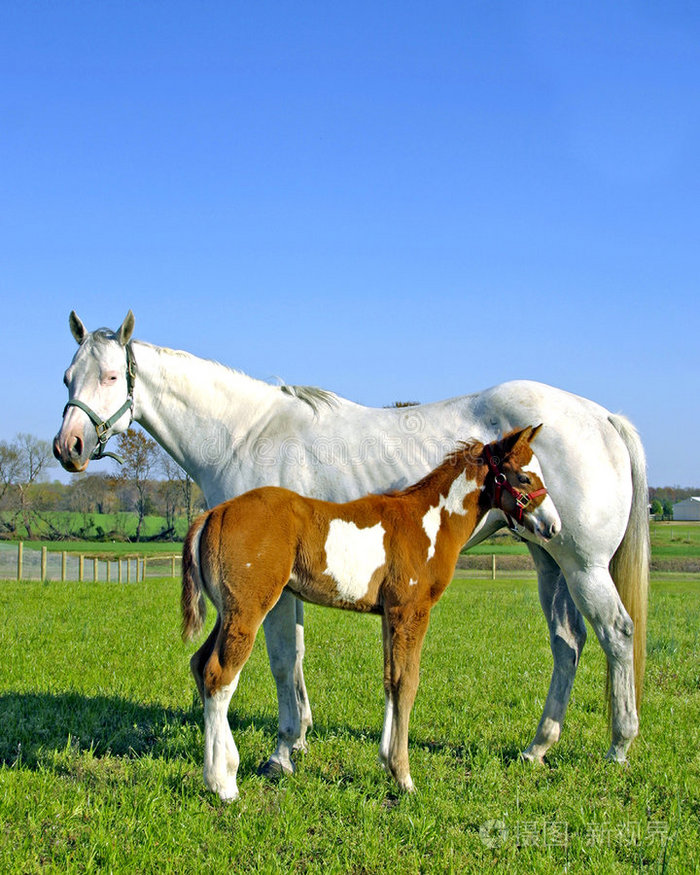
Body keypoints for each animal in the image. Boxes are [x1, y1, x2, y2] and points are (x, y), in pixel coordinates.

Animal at [181, 425, 560, 799]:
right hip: (248, 610)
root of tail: (213, 513)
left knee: (200, 665)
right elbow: (408, 683)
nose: (554, 527)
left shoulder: (390, 614)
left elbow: (390, 680)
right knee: (219, 676)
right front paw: (404, 776)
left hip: (227, 613)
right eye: (524, 477)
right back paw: (223, 783)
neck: (428, 522)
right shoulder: (411, 611)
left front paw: (386, 763)